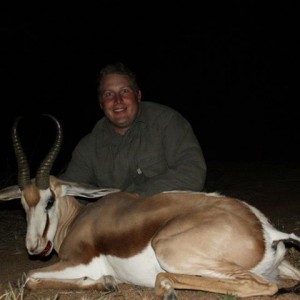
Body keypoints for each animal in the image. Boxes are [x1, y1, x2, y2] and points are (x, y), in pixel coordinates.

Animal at [0, 115, 300, 300]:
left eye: (49, 200)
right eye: (22, 203)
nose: (34, 247)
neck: (77, 220)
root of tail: (266, 231)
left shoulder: (76, 262)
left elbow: (28, 276)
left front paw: (106, 282)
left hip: (169, 251)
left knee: (262, 285)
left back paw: (165, 287)